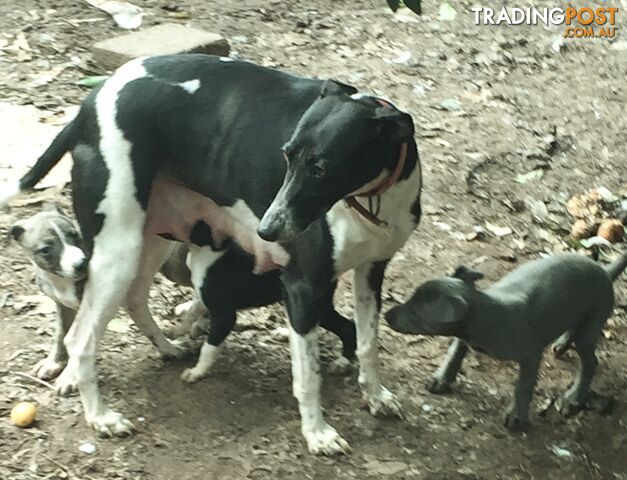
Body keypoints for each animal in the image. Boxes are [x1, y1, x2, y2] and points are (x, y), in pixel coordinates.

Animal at [1, 55, 422, 454]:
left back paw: (164, 350)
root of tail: (90, 104)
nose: (267, 231)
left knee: (133, 298)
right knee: (81, 337)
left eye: (320, 168)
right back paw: (100, 417)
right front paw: (317, 433)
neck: (371, 197)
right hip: (117, 249)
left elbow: (368, 343)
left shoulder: (371, 272)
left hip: (149, 237)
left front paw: (376, 396)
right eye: (286, 156)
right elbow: (308, 376)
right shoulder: (302, 287)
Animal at [388, 251, 627, 432]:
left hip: (590, 327)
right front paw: (441, 379)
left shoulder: (531, 355)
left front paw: (516, 415)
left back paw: (573, 398)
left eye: (416, 313)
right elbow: (454, 353)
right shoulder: (464, 337)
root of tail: (605, 271)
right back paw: (562, 342)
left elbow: (523, 386)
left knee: (590, 363)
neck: (487, 309)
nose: (387, 315)